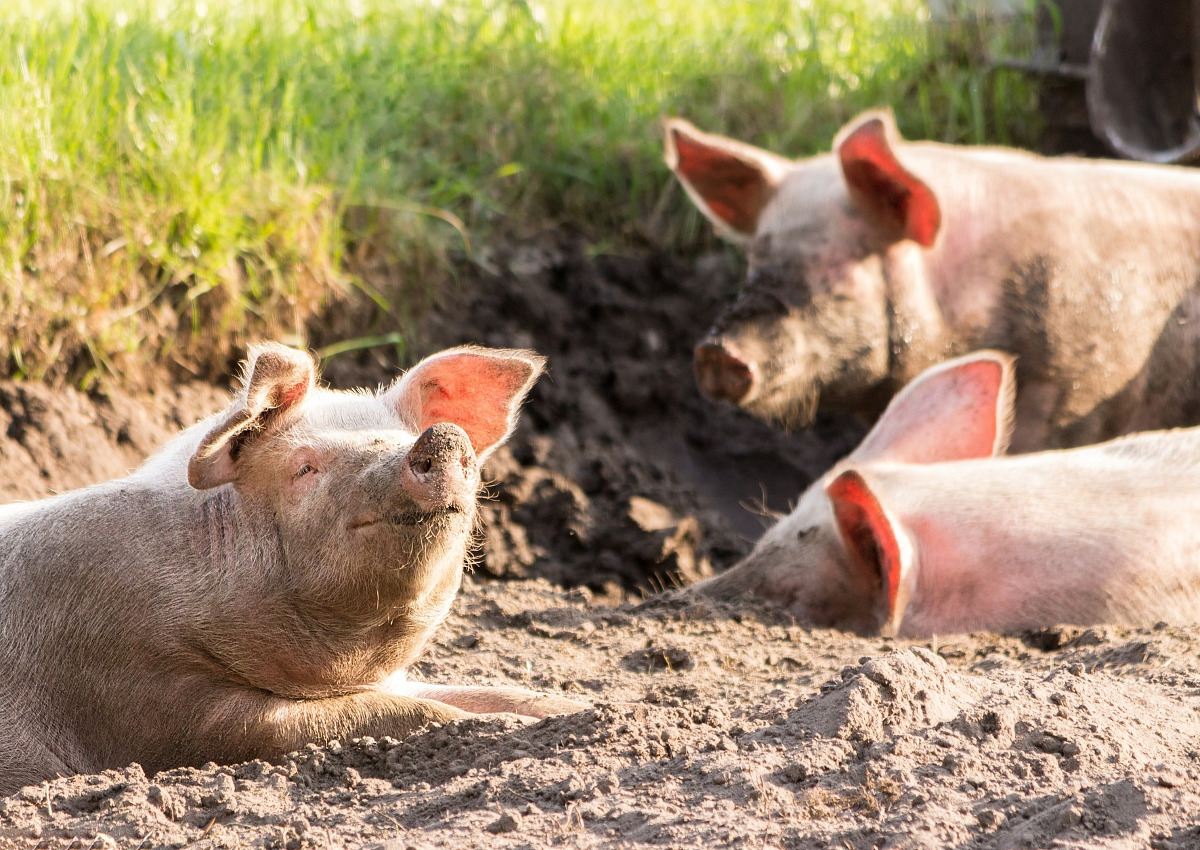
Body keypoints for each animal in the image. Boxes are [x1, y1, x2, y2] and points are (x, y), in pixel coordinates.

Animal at [0, 340, 585, 792]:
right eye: (305, 468)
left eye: (403, 438)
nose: (441, 437)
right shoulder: (147, 696)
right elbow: (399, 714)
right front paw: (500, 725)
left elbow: (492, 692)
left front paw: (581, 709)